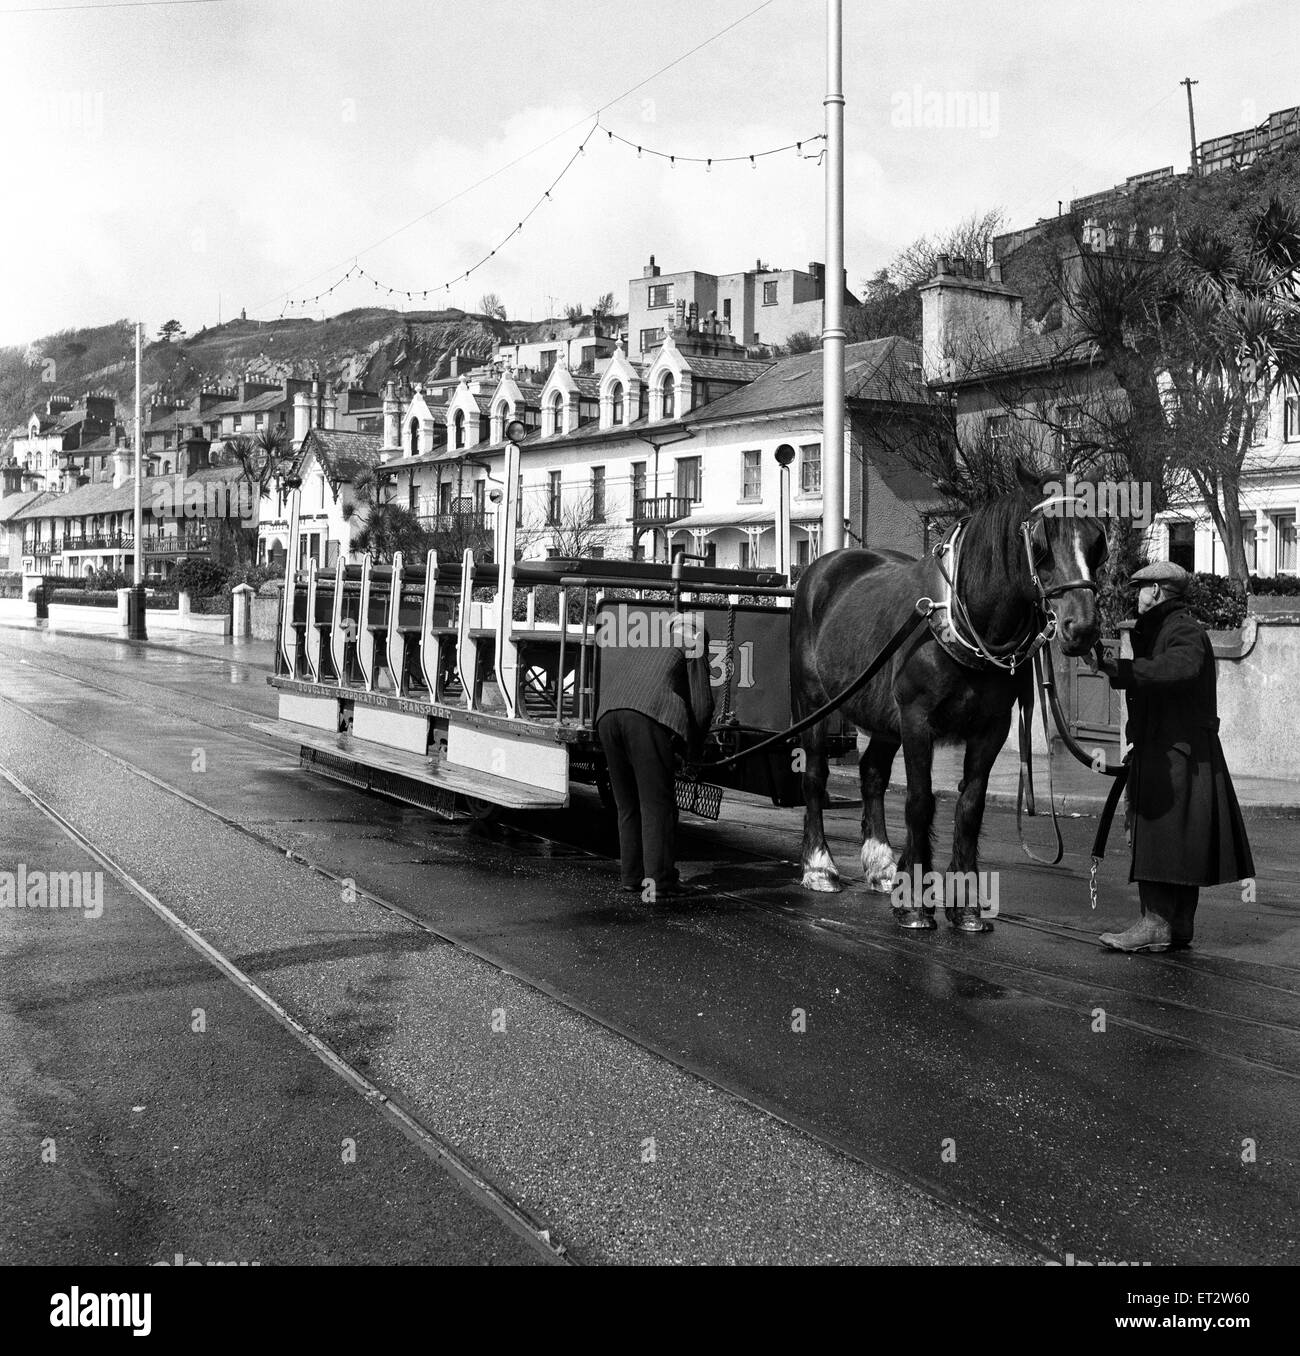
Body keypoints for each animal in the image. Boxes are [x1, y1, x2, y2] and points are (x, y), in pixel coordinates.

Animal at [791, 466, 1106, 932]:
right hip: (814, 703)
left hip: (884, 718)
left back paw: (880, 866)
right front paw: (914, 904)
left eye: (1097, 539)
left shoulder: (991, 728)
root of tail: (821, 567)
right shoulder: (917, 720)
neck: (963, 617)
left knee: (872, 774)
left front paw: (966, 907)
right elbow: (920, 802)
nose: (1080, 627)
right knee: (814, 774)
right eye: (1041, 541)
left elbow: (971, 806)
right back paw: (819, 867)